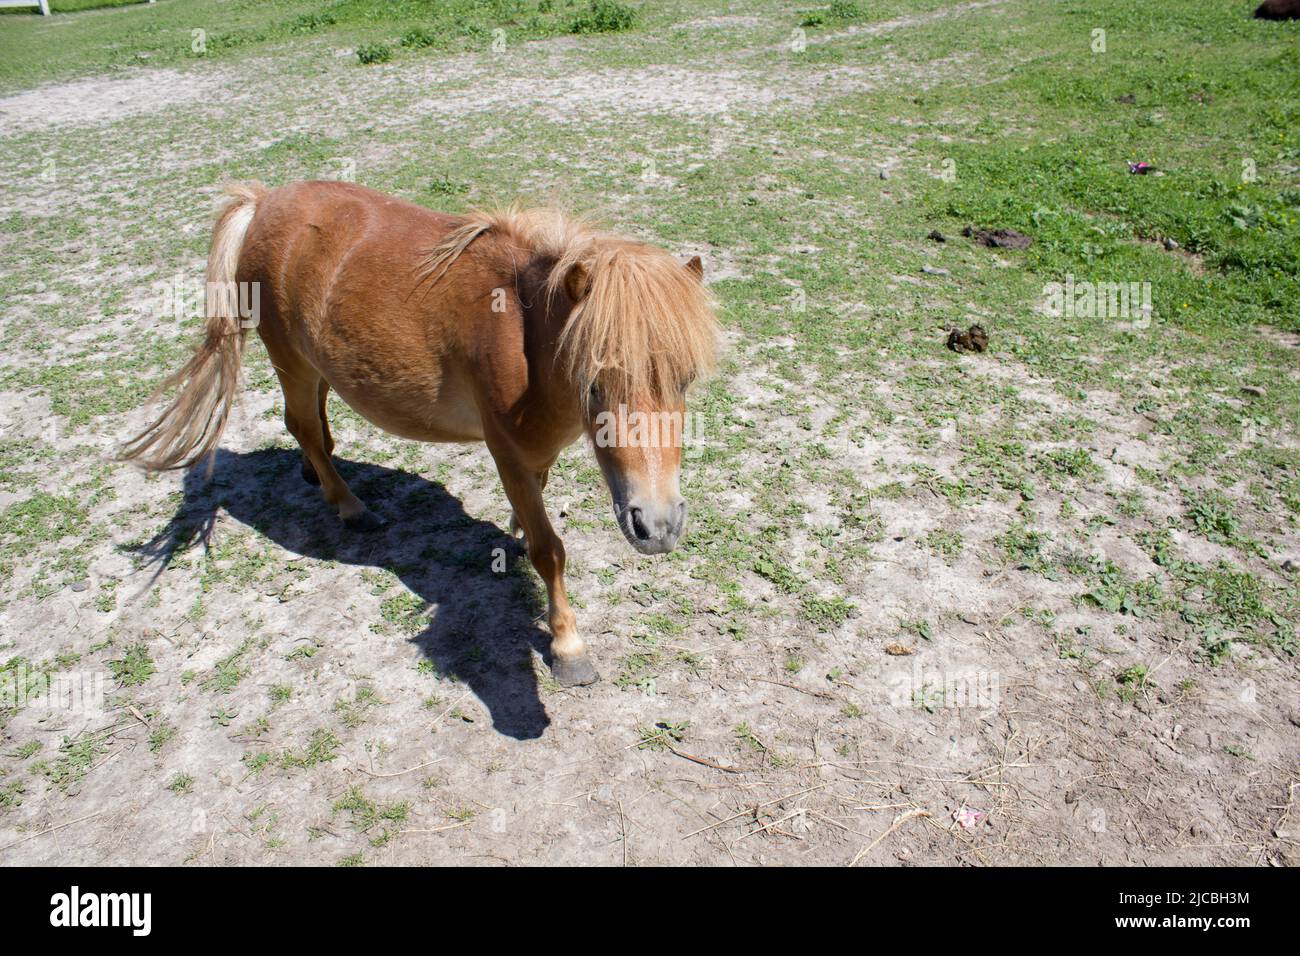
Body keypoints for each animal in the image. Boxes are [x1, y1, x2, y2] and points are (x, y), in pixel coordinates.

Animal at [119, 180, 722, 686]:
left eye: (686, 378)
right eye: (595, 383)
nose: (658, 527)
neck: (521, 336)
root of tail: (264, 200)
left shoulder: (536, 454)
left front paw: (515, 531)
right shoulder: (507, 453)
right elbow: (550, 551)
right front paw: (568, 648)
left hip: (316, 363)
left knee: (314, 424)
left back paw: (315, 473)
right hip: (289, 358)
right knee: (303, 425)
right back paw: (348, 505)